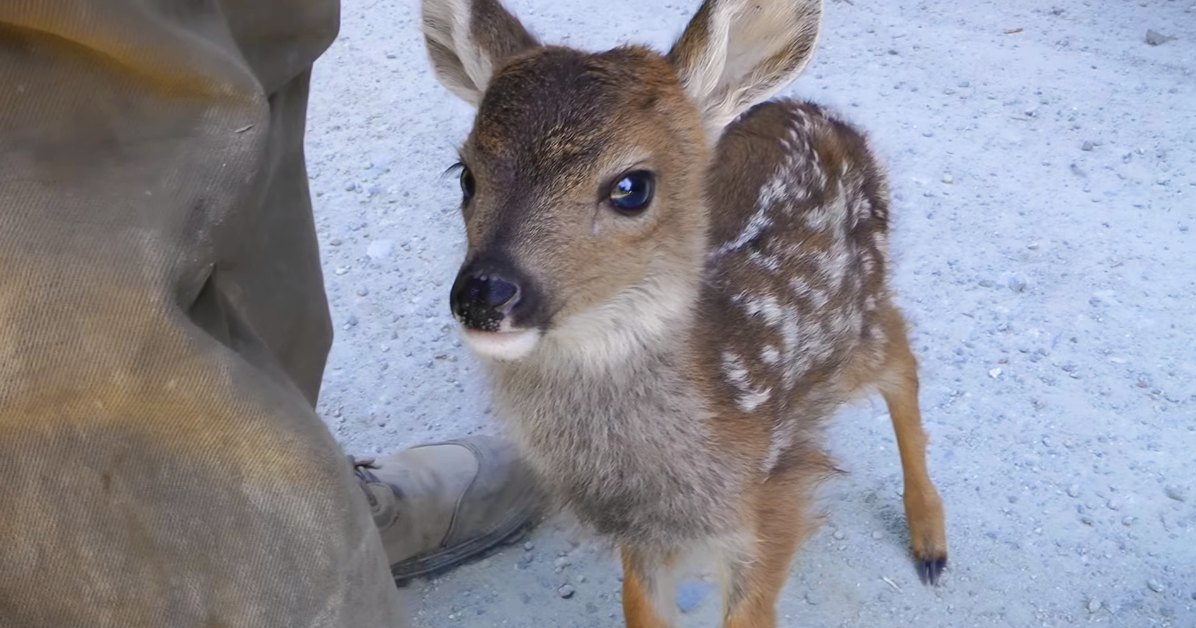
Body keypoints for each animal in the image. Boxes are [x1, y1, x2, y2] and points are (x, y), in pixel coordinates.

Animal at [419, 0, 948, 625]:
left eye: (631, 187)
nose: (484, 293)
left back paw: (931, 541)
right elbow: (639, 603)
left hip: (859, 308)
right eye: (465, 176)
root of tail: (816, 111)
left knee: (900, 350)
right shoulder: (644, 534)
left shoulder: (774, 499)